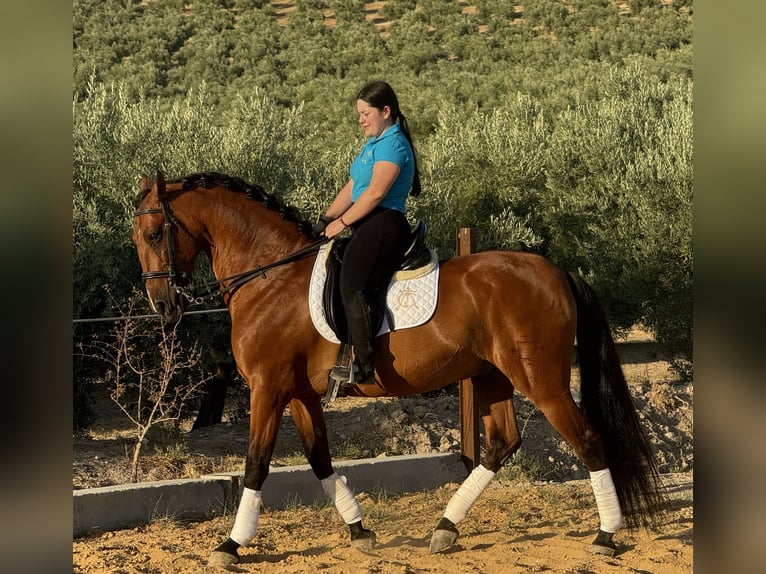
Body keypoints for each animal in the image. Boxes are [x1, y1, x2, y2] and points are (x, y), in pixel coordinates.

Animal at [134, 171, 664, 568]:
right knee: (503, 443)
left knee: (587, 439)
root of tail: (556, 272)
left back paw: (604, 534)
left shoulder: (268, 388)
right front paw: (359, 530)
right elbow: (320, 459)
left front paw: (231, 544)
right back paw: (445, 529)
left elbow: (256, 463)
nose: (163, 306)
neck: (270, 275)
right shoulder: (300, 393)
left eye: (155, 233)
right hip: (492, 376)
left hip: (542, 381)